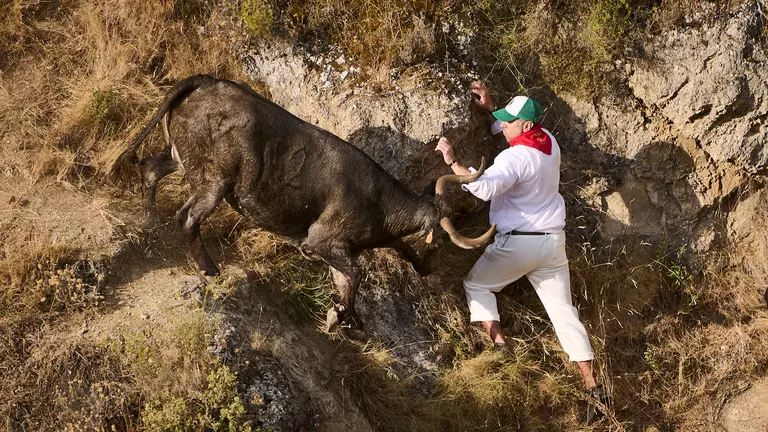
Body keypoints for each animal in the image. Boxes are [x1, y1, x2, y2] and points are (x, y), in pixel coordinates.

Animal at [111, 75, 495, 331]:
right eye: (441, 241)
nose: (430, 269)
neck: (379, 203)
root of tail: (203, 82)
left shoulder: (337, 252)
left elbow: (347, 282)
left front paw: (347, 319)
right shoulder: (323, 241)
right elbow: (357, 275)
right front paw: (337, 317)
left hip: (180, 157)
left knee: (150, 169)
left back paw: (149, 222)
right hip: (214, 180)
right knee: (188, 217)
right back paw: (209, 269)